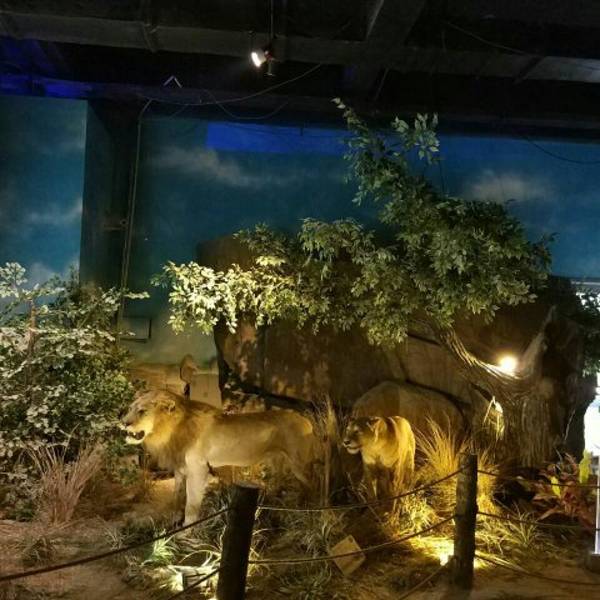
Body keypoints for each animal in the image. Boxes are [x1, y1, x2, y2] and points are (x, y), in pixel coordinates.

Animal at [122, 390, 314, 525]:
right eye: (130, 409)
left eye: (142, 411)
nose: (123, 423)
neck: (172, 430)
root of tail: (306, 421)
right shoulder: (180, 469)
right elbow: (177, 496)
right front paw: (174, 520)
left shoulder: (198, 470)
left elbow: (191, 505)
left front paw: (185, 531)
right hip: (277, 461)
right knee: (281, 484)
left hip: (299, 465)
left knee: (313, 484)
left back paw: (307, 510)